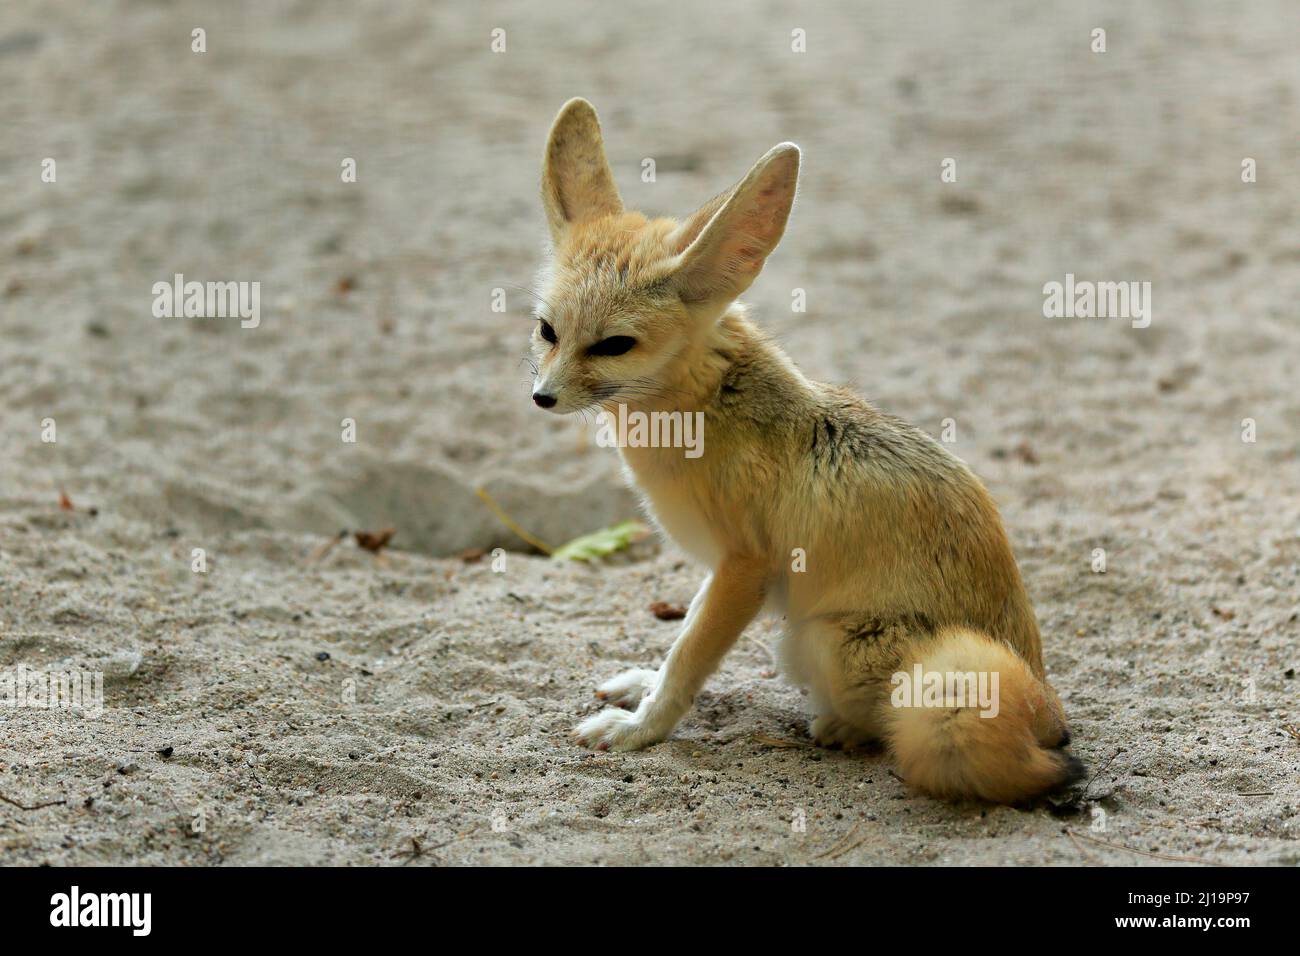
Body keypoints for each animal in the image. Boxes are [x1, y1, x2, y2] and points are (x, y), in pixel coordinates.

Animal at [527, 97, 1086, 806]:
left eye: (614, 346)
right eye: (548, 332)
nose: (541, 397)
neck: (706, 406)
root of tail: (1046, 702)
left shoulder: (745, 566)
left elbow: (690, 656)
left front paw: (642, 728)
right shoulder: (725, 569)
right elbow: (682, 635)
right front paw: (643, 689)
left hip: (822, 637)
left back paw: (841, 730)